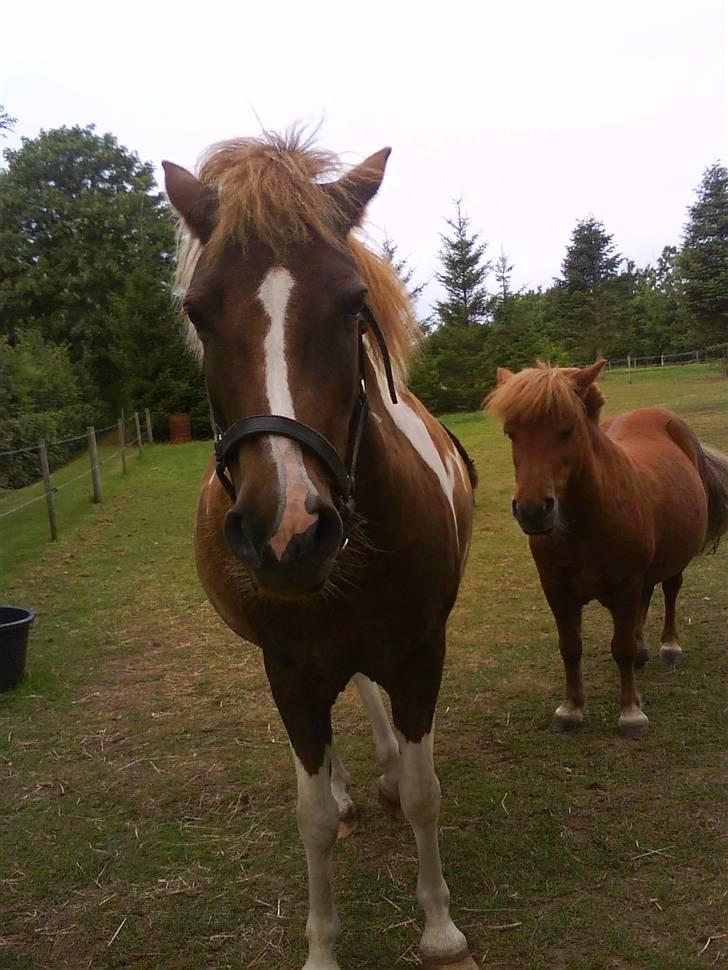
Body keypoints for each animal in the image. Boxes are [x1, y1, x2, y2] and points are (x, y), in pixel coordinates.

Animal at [163, 136, 478, 968]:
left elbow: (427, 792)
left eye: (351, 305)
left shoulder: (420, 653)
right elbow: (311, 819)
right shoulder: (291, 670)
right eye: (198, 312)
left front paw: (439, 927)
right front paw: (322, 946)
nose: (289, 530)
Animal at [490, 362, 728, 732]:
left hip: (675, 560)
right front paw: (570, 708)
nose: (532, 511)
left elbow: (622, 648)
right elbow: (570, 647)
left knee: (670, 592)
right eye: (511, 433)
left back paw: (669, 647)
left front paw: (631, 713)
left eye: (567, 430)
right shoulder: (556, 588)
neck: (585, 525)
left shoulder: (625, 584)